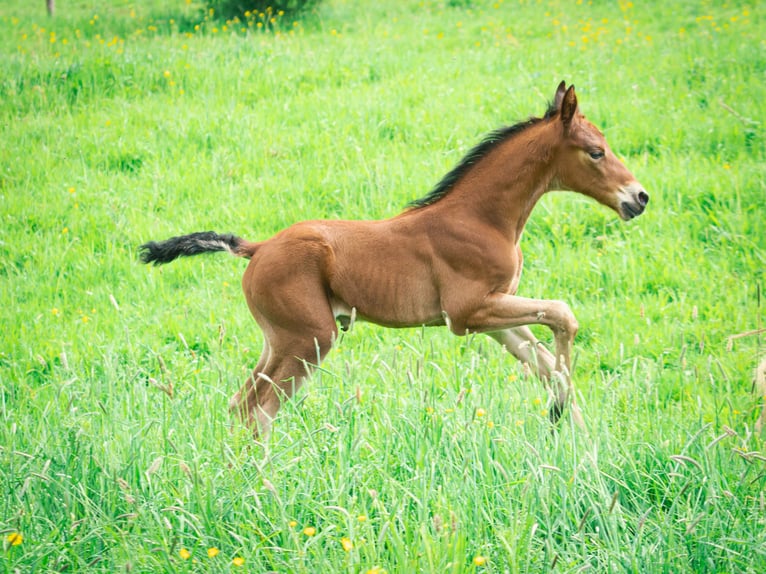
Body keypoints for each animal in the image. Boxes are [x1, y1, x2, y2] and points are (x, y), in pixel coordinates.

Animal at [140, 82, 648, 438]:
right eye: (596, 152)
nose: (639, 198)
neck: (482, 217)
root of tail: (258, 247)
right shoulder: (467, 312)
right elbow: (564, 315)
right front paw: (563, 421)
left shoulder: (496, 314)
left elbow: (546, 360)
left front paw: (578, 439)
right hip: (310, 338)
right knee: (259, 410)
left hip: (278, 340)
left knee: (239, 404)